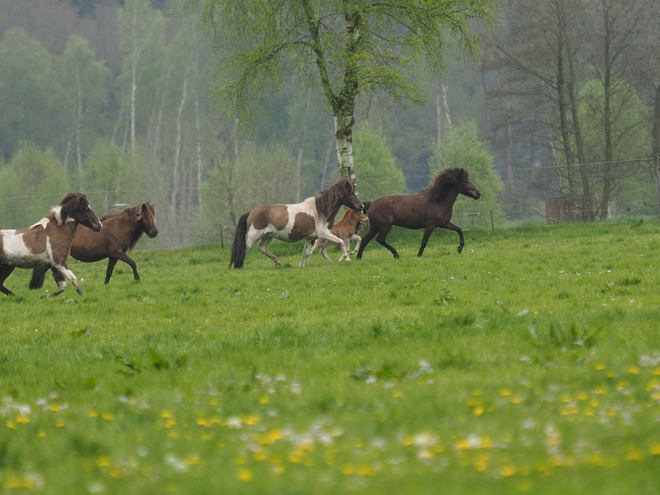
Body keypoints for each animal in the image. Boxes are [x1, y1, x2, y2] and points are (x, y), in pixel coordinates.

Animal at [29, 202, 158, 288]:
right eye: (147, 217)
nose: (155, 232)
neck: (119, 227)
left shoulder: (113, 256)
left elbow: (109, 271)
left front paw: (105, 285)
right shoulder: (118, 253)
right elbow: (133, 263)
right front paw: (137, 279)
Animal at [229, 180, 364, 270]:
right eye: (350, 193)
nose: (361, 206)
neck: (320, 211)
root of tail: (251, 211)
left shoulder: (311, 238)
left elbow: (306, 252)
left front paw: (302, 265)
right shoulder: (323, 234)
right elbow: (341, 242)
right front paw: (346, 257)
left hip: (268, 236)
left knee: (262, 248)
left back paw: (277, 262)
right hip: (254, 235)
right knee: (245, 249)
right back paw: (238, 267)